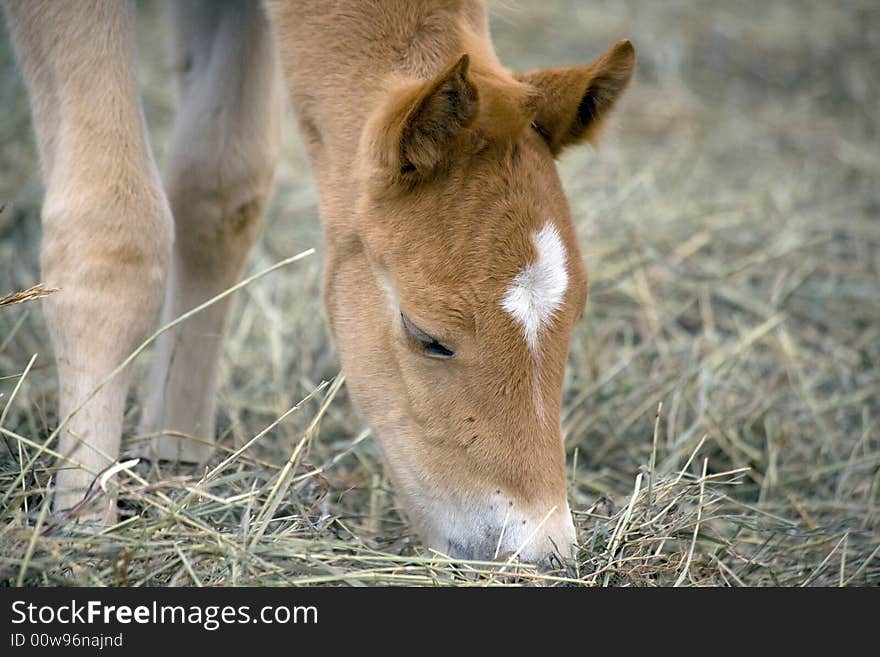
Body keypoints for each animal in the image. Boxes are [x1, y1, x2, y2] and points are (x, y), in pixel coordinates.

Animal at [3, 0, 632, 564]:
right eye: (427, 335)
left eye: (575, 319)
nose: (540, 549)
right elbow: (113, 231)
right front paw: (85, 518)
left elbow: (219, 191)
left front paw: (176, 460)